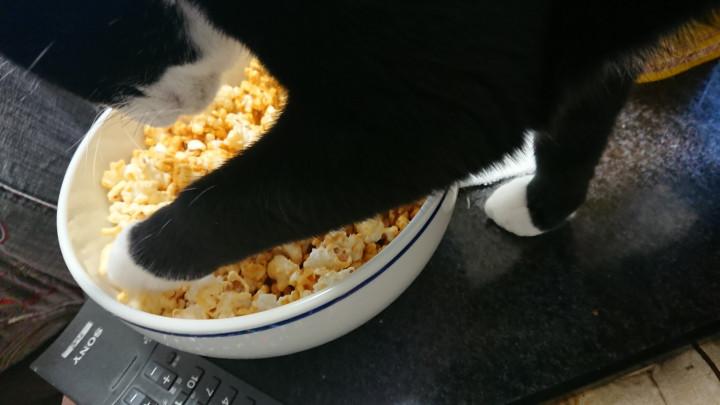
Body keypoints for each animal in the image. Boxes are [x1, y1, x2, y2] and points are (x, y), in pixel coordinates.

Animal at [1, 0, 718, 290]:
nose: (174, 109)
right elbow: (575, 125)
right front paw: (540, 208)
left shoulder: (433, 106)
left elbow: (233, 203)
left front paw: (119, 266)